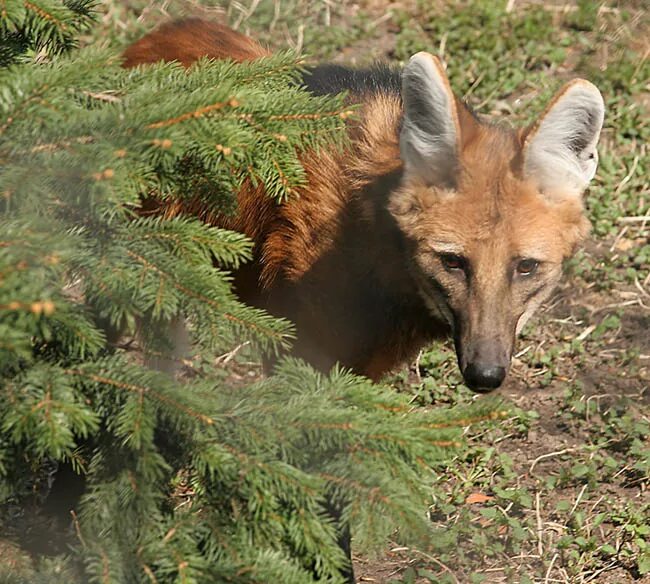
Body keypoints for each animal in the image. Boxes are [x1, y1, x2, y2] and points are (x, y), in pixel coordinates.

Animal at [125, 19, 604, 392]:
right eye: (452, 261)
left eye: (526, 267)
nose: (485, 375)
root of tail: (155, 35)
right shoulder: (300, 350)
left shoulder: (357, 364)